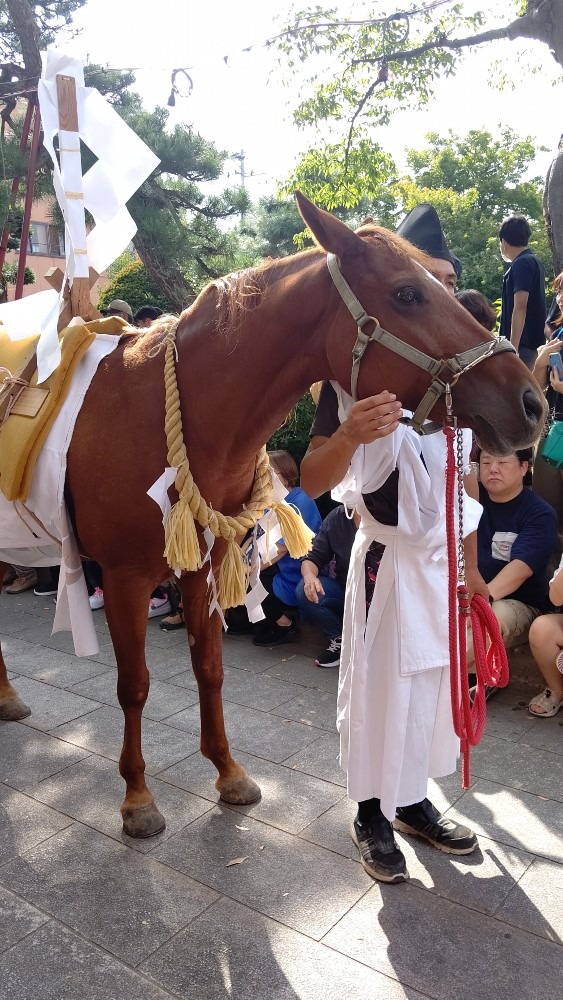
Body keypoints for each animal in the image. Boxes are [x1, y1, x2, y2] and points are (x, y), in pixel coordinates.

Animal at [0, 193, 548, 836]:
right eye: (407, 293)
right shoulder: (126, 575)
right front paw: (137, 797)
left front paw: (228, 773)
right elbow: (134, 685)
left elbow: (209, 669)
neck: (174, 411)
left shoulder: (205, 564)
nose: (531, 403)